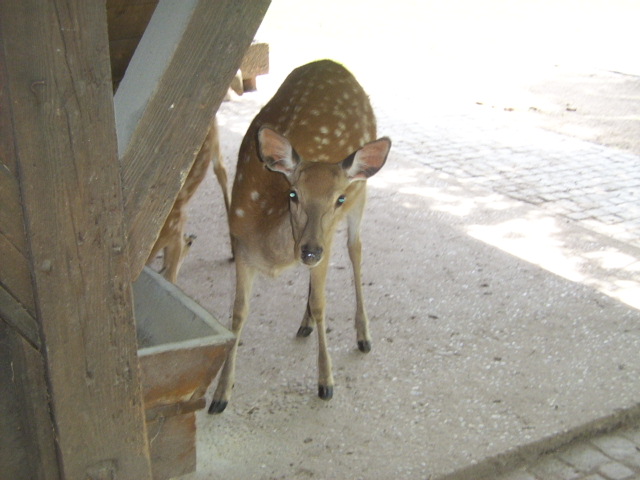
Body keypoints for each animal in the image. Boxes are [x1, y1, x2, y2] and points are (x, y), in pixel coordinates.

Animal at [209, 59, 390, 412]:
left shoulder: (328, 240)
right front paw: (221, 394)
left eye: (338, 198)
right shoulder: (240, 245)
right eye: (293, 194)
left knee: (356, 249)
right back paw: (305, 323)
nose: (309, 251)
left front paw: (325, 382)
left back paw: (363, 336)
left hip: (360, 198)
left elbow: (322, 304)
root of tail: (332, 63)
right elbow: (237, 314)